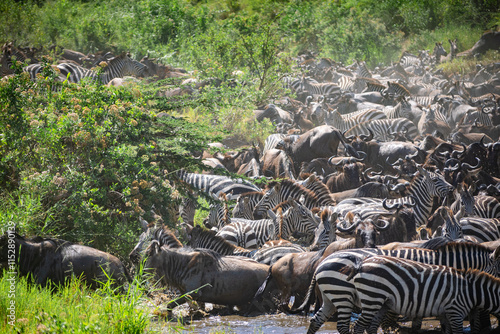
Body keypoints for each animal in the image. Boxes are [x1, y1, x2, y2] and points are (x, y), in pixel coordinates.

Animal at [352, 254, 500, 332]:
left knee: (372, 326)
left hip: (382, 303)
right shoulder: (455, 311)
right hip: (372, 297)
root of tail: (363, 262)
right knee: (359, 326)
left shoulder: (445, 313)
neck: (471, 291)